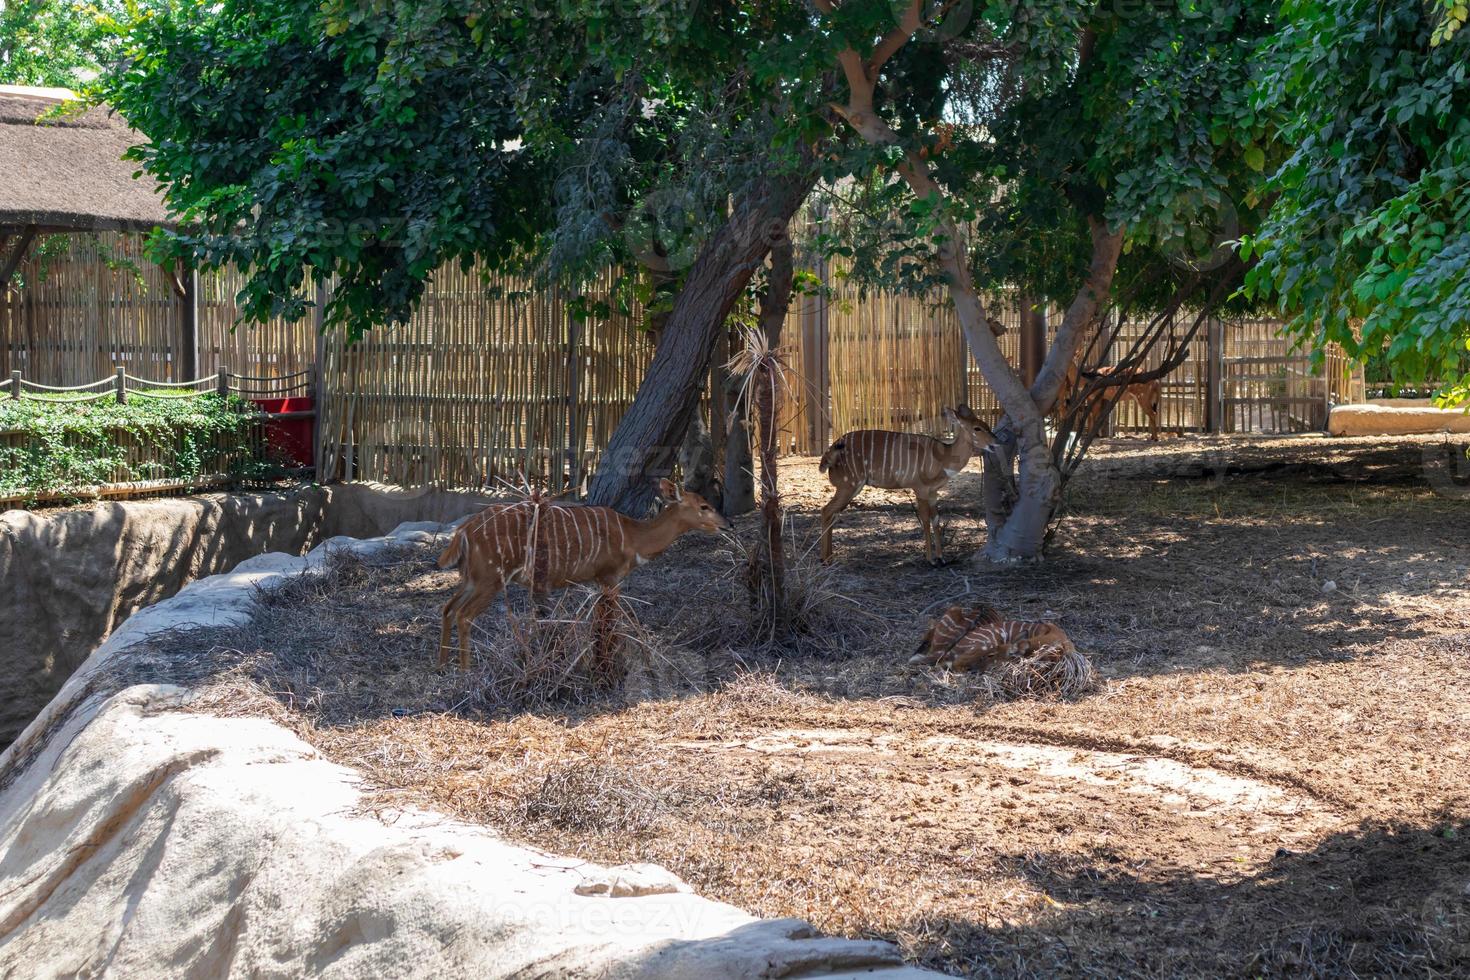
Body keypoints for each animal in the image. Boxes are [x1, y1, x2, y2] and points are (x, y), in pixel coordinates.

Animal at [435, 478, 735, 669]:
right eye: (704, 506)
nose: (728, 524)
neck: (633, 536)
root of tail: (463, 531)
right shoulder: (610, 576)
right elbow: (614, 622)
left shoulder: (597, 581)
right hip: (491, 578)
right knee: (464, 615)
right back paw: (466, 670)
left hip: (472, 578)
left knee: (448, 607)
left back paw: (442, 666)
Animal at [817, 402, 999, 564]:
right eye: (977, 428)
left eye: (986, 425)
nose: (996, 442)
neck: (943, 459)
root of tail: (830, 452)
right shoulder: (920, 488)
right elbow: (925, 520)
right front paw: (930, 560)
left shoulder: (933, 492)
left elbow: (936, 520)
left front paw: (942, 558)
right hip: (848, 485)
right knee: (826, 510)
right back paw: (825, 559)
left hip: (853, 487)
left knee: (833, 513)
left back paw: (830, 557)